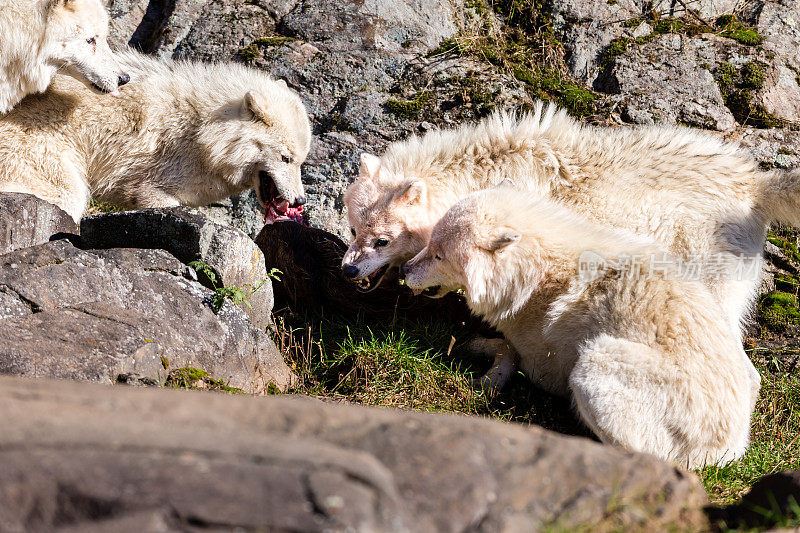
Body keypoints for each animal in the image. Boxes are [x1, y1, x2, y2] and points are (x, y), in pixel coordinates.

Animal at [0, 48, 310, 221]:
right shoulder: (164, 163)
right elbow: (154, 195)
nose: (299, 201)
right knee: (65, 193)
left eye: (301, 161)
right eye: (285, 157)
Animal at [404, 186, 760, 466]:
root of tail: (729, 450)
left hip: (592, 362)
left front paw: (485, 369)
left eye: (438, 255)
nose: (404, 270)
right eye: (429, 243)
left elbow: (508, 350)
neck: (537, 275)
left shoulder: (542, 368)